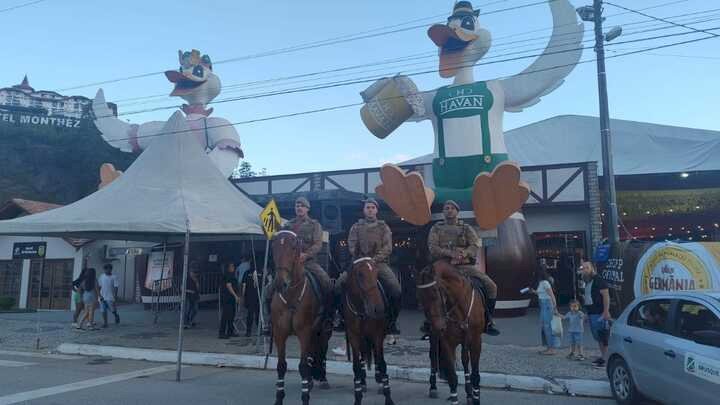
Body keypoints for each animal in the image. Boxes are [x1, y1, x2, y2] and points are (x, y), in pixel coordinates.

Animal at [270, 230, 332, 404]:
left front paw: (305, 398)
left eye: (293, 247)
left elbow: (303, 366)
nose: (280, 283)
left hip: (324, 331)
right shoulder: (279, 333)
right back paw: (310, 381)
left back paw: (322, 379)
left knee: (322, 351)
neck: (291, 294)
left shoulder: (305, 332)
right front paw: (279, 398)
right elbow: (281, 365)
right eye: (274, 247)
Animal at [344, 256, 396, 404]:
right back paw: (363, 382)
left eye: (377, 273)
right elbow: (356, 366)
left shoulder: (377, 334)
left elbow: (382, 363)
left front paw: (388, 397)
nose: (378, 309)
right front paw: (358, 396)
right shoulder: (353, 335)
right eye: (360, 275)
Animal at [414, 260, 486, 404]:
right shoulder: (447, 342)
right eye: (420, 298)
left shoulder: (476, 340)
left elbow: (475, 374)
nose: (437, 326)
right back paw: (433, 387)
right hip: (435, 338)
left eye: (435, 292)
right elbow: (452, 378)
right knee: (433, 356)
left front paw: (475, 396)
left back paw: (469, 393)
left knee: (465, 360)